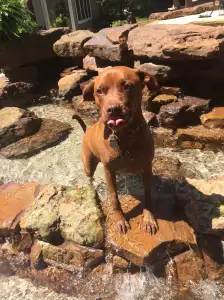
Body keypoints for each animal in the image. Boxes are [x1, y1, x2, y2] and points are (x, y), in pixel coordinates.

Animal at [75, 65, 159, 234]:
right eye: (99, 91)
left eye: (127, 86)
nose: (113, 109)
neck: (125, 136)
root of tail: (87, 130)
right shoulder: (109, 170)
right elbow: (114, 197)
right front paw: (120, 219)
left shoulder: (146, 166)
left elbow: (147, 193)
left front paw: (148, 218)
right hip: (88, 164)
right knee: (89, 176)